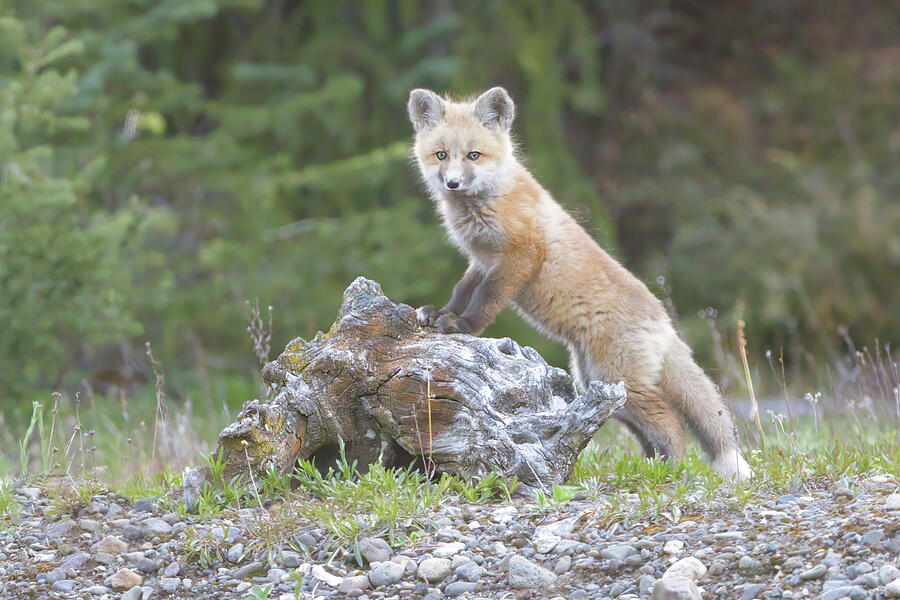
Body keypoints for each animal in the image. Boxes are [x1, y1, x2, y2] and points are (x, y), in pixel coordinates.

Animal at [407, 86, 751, 481]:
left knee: (672, 426)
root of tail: (664, 323)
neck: (490, 200)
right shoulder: (481, 260)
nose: (452, 182)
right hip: (603, 388)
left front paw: (463, 325)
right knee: (652, 432)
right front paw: (440, 314)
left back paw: (669, 473)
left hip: (622, 382)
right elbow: (462, 292)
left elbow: (485, 299)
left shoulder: (519, 254)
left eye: (473, 156)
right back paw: (650, 469)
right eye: (441, 155)